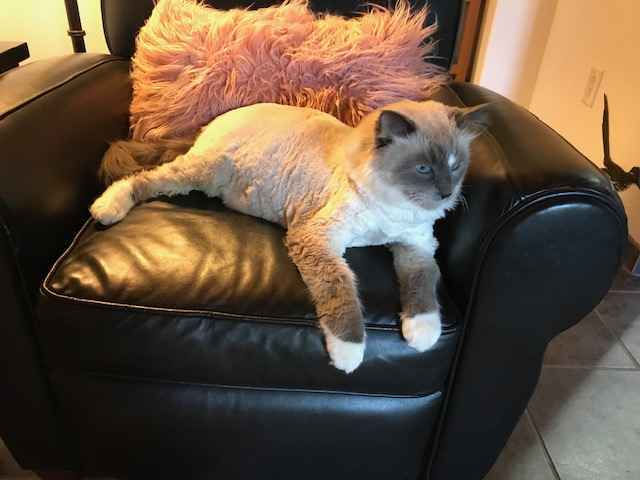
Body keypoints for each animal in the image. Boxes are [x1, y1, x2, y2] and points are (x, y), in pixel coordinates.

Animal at [90, 100, 487, 373]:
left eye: (455, 166)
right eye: (423, 168)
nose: (446, 194)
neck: (393, 209)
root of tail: (213, 123)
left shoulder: (415, 244)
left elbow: (424, 282)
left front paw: (422, 332)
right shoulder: (318, 239)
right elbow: (341, 290)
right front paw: (349, 353)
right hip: (201, 172)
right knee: (142, 180)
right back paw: (106, 208)